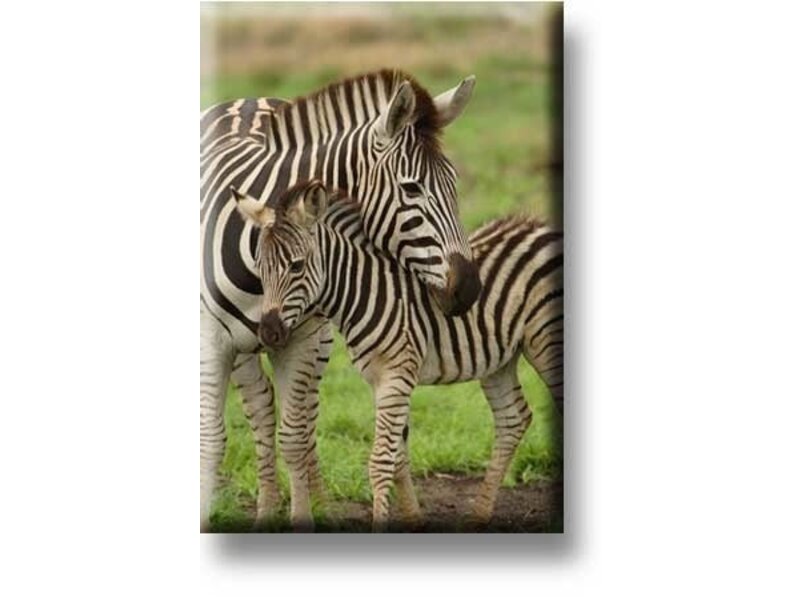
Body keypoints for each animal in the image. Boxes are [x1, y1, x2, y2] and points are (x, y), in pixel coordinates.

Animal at [200, 70, 481, 531]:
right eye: (411, 189)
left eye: (455, 184)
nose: (470, 289)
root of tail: (248, 99)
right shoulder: (211, 343)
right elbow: (212, 439)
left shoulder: (301, 338)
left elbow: (295, 437)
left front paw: (304, 516)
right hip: (241, 348)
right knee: (259, 408)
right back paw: (265, 509)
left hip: (318, 340)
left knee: (301, 416)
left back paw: (314, 506)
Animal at [233, 180, 563, 531]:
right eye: (259, 269)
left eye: (296, 266)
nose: (268, 333)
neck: (366, 293)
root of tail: (544, 229)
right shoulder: (382, 380)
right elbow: (397, 454)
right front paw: (413, 518)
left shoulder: (396, 376)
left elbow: (380, 460)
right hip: (499, 357)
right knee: (514, 417)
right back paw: (479, 515)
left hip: (546, 340)